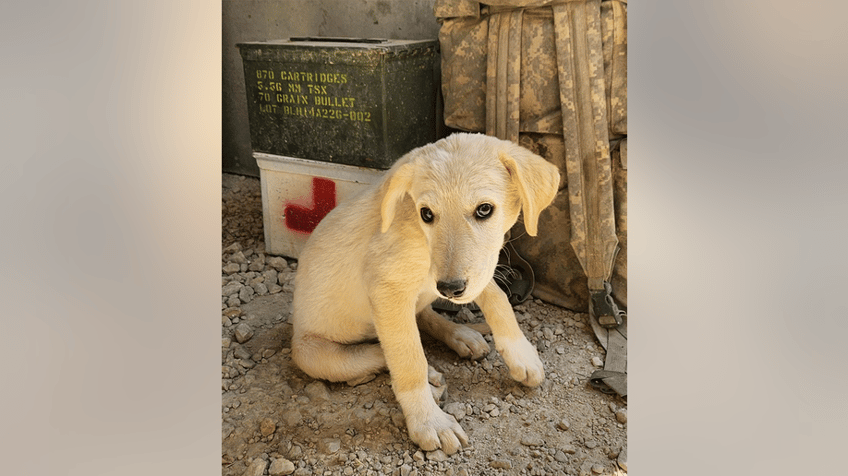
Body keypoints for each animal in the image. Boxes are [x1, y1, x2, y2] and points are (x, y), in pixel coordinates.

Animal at [292, 133, 564, 454]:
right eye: (427, 214)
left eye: (484, 209)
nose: (449, 289)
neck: (420, 238)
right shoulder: (387, 291)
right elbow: (409, 363)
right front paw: (429, 422)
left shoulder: (473, 270)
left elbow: (497, 297)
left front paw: (521, 354)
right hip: (314, 355)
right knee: (386, 353)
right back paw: (432, 379)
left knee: (423, 316)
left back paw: (462, 335)